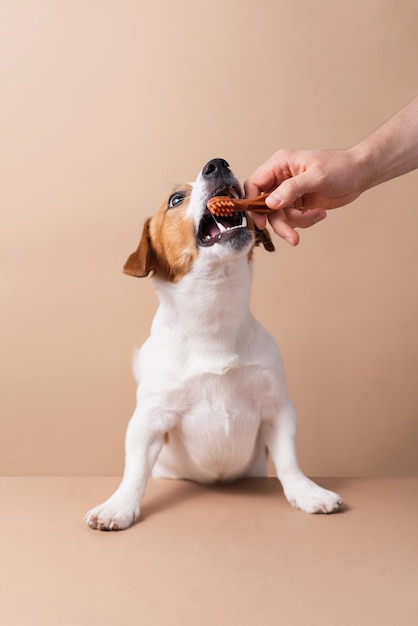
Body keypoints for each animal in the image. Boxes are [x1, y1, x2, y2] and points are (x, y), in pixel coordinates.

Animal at [85, 157, 342, 528]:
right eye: (175, 199)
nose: (217, 164)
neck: (213, 315)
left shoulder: (278, 409)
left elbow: (289, 461)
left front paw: (307, 492)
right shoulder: (149, 420)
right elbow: (134, 471)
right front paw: (118, 505)